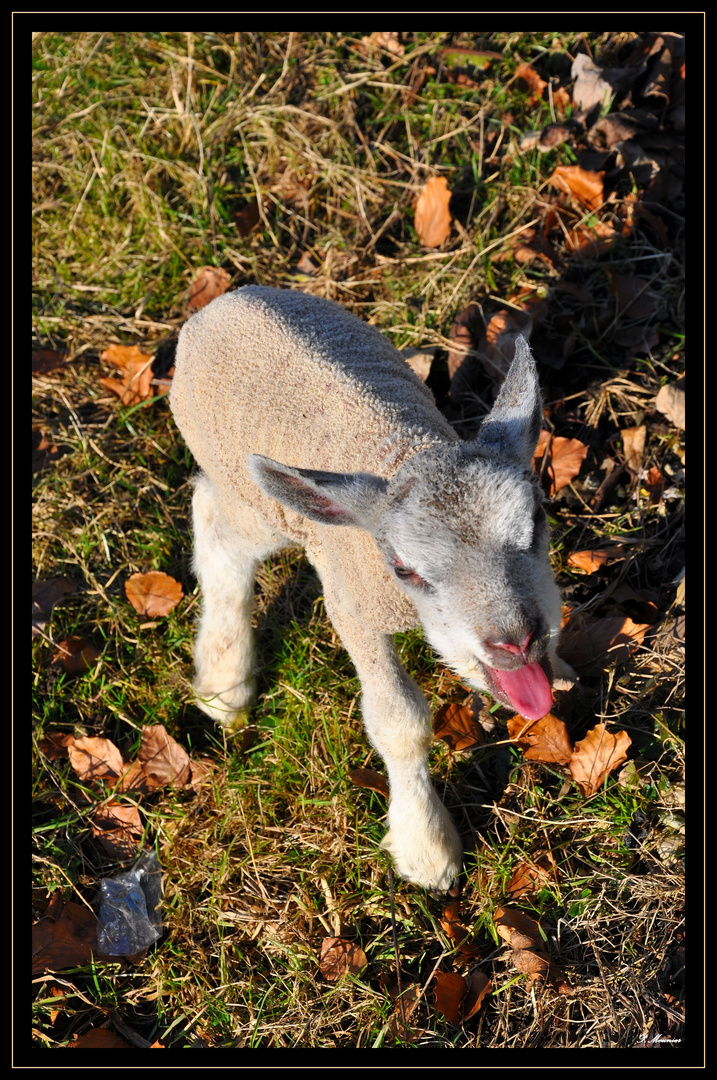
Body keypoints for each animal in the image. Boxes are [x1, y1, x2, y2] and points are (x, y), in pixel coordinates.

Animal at [169, 282, 570, 889]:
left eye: (538, 520)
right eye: (405, 569)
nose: (515, 641)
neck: (403, 450)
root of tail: (223, 304)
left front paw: (565, 671)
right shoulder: (352, 606)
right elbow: (397, 722)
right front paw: (427, 849)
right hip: (254, 499)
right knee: (215, 527)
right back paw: (225, 680)